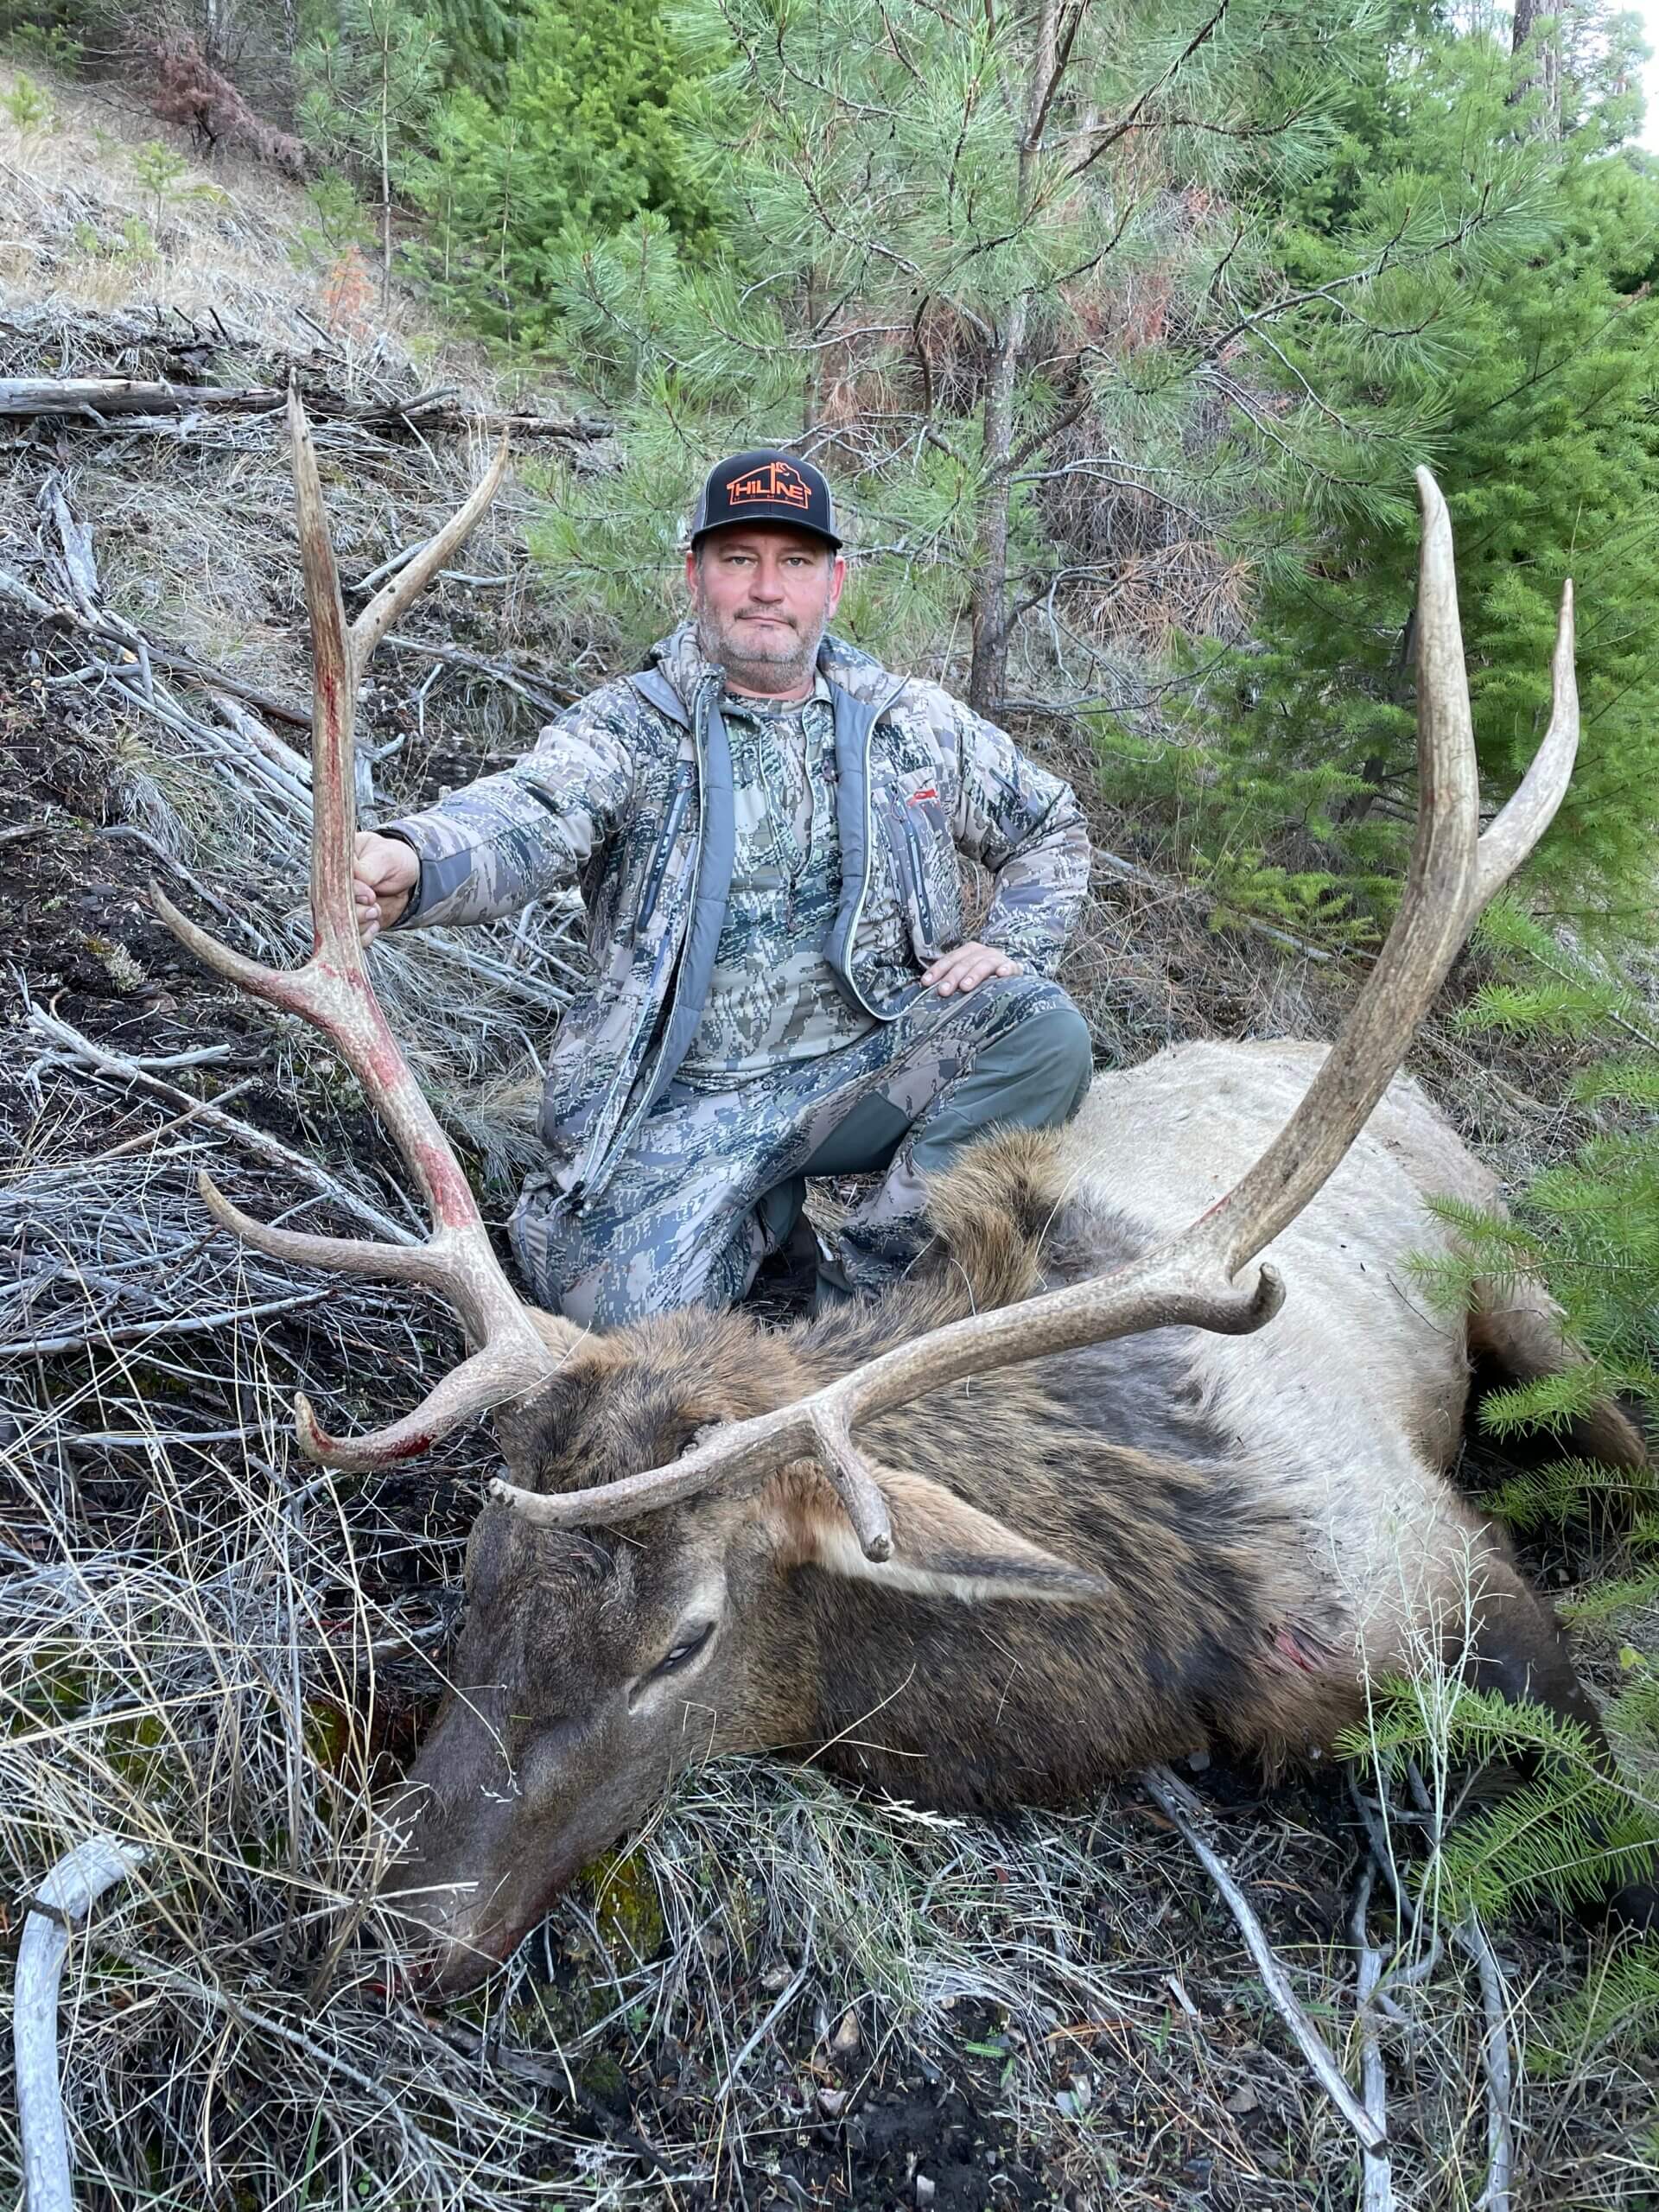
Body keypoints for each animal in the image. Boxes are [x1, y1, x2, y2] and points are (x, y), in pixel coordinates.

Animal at [154, 391, 1652, 1999]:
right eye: (486, 1566)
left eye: (684, 1640)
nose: (395, 1928)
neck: (1161, 1637)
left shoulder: (1436, 1567)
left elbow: (1596, 1819)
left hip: (1518, 1282)